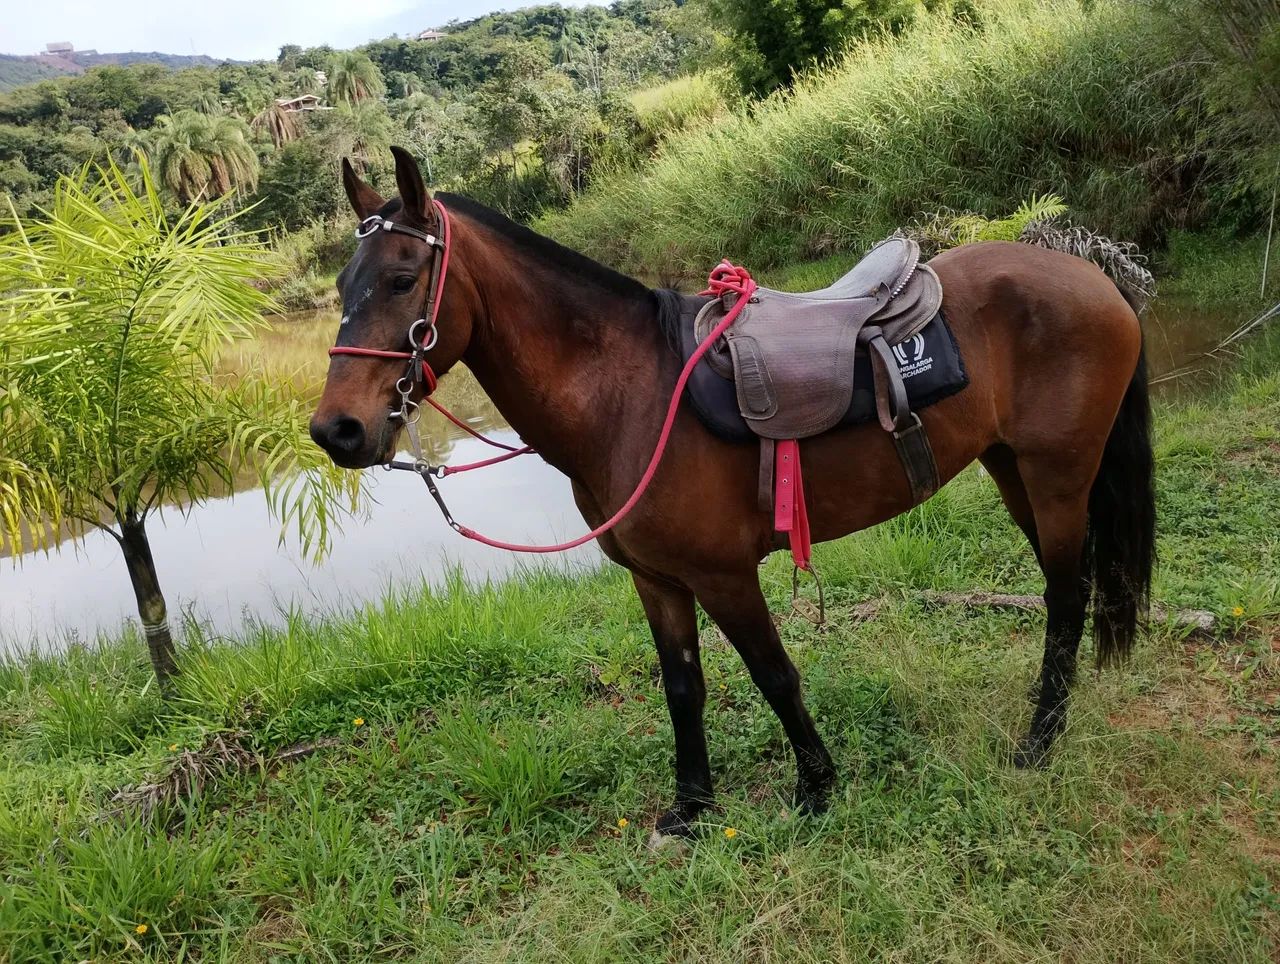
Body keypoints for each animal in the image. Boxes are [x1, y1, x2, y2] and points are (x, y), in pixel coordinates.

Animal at [311, 147, 1155, 845]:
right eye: (343, 287)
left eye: (399, 280)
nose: (336, 431)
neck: (627, 394)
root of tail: (1093, 277)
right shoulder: (657, 581)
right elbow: (684, 686)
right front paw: (690, 808)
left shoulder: (724, 576)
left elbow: (774, 673)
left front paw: (816, 787)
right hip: (1013, 469)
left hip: (1057, 476)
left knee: (1066, 593)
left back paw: (1039, 741)